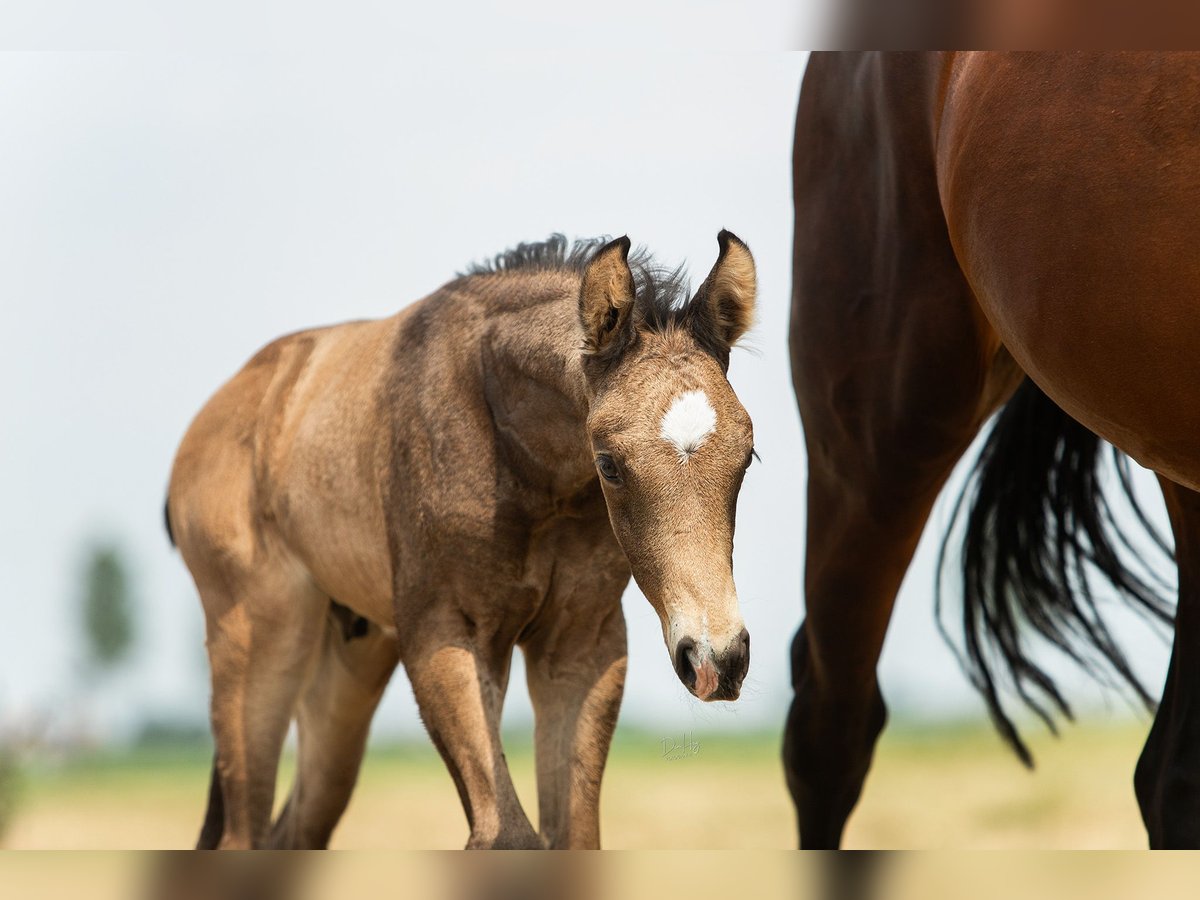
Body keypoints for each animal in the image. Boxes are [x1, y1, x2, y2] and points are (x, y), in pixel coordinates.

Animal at [166, 232, 758, 854]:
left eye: (747, 456)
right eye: (609, 464)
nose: (717, 658)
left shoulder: (580, 643)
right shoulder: (446, 634)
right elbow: (507, 836)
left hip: (347, 662)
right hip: (260, 640)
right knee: (242, 832)